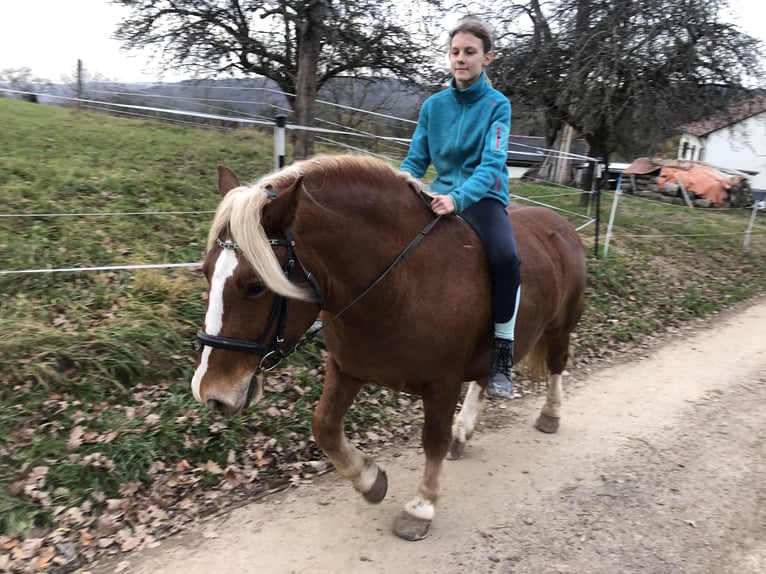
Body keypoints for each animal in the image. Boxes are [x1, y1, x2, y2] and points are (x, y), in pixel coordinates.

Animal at [191, 154, 587, 541]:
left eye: (254, 286)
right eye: (207, 271)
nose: (211, 393)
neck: (397, 282)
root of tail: (561, 224)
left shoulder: (441, 384)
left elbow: (433, 440)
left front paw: (421, 508)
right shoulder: (346, 368)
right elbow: (324, 427)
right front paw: (370, 480)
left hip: (560, 328)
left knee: (557, 365)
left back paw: (550, 415)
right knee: (484, 379)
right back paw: (464, 432)